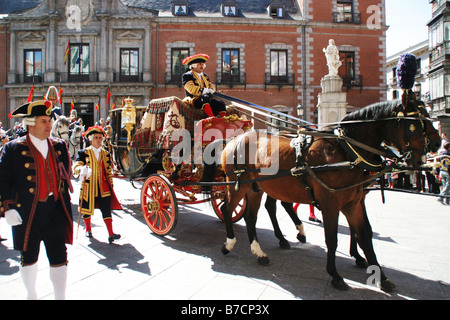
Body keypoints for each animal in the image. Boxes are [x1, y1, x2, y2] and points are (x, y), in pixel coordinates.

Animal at [203, 94, 440, 292]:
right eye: (415, 124)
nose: (436, 144)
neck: (346, 151)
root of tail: (233, 140)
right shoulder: (330, 203)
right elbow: (332, 239)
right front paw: (336, 275)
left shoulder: (354, 202)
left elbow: (365, 235)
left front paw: (379, 274)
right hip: (238, 185)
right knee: (228, 208)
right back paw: (230, 243)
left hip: (257, 188)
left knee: (252, 216)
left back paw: (260, 251)